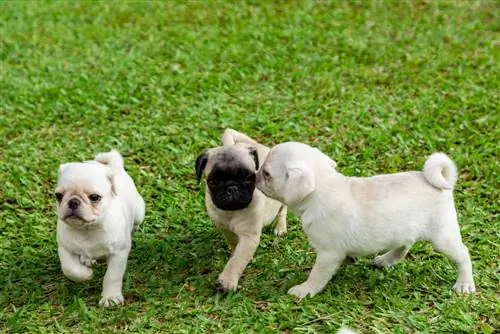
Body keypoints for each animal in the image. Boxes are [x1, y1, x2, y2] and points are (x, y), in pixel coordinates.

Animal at [55, 150, 145, 306]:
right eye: (58, 196)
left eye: (95, 197)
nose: (73, 201)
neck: (87, 230)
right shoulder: (64, 247)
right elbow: (70, 268)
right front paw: (86, 274)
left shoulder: (118, 253)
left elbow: (112, 276)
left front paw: (110, 297)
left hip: (139, 212)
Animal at [196, 129, 290, 290]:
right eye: (213, 182)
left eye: (248, 177)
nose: (232, 188)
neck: (232, 212)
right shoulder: (225, 228)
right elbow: (234, 242)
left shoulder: (249, 237)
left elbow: (237, 261)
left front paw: (227, 281)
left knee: (283, 210)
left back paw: (280, 226)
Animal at [258, 142, 476, 298]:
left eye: (267, 174)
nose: (256, 173)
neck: (322, 188)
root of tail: (444, 184)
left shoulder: (328, 254)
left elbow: (317, 275)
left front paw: (305, 290)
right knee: (404, 246)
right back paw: (386, 260)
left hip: (442, 237)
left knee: (463, 254)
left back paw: (464, 283)